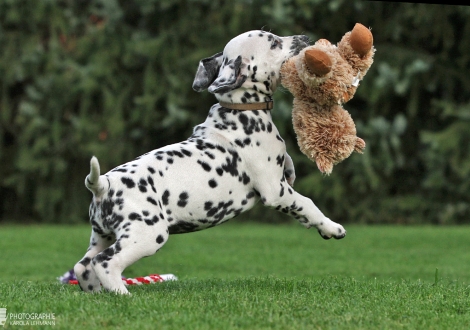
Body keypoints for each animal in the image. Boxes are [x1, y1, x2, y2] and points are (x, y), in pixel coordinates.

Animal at [73, 29, 346, 296]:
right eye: (273, 42)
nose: (306, 38)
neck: (241, 111)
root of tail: (103, 185)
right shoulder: (275, 191)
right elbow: (307, 204)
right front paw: (331, 228)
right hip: (146, 234)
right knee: (105, 263)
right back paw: (123, 294)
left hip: (103, 235)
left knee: (83, 266)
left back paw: (97, 294)